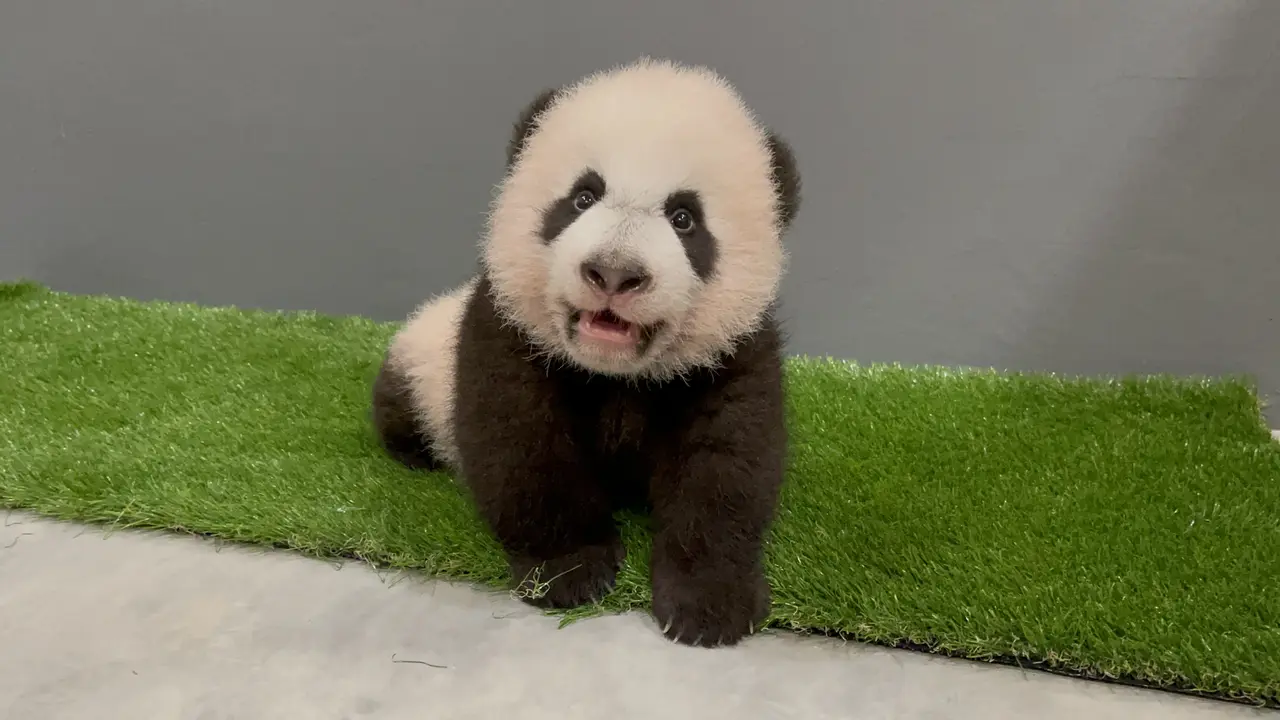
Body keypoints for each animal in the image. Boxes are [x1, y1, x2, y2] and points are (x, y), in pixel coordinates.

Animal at [372, 57, 802, 648]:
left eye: (685, 218)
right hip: (420, 360)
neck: (615, 373)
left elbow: (726, 464)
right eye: (582, 197)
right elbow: (522, 446)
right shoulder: (506, 331)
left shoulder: (731, 355)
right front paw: (570, 570)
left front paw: (710, 605)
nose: (614, 273)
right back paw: (415, 453)